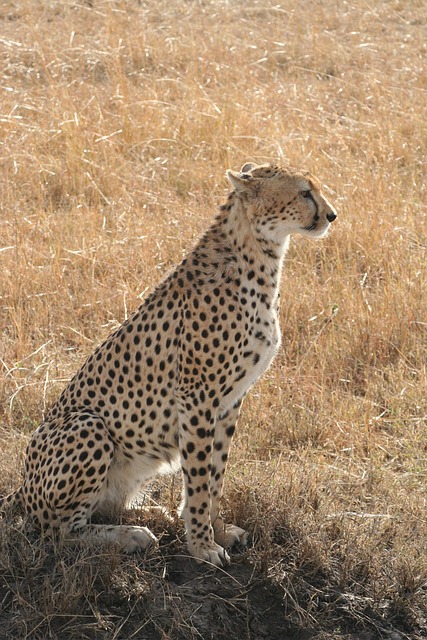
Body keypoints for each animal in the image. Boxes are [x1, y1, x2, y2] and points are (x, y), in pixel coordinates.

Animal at [2, 162, 337, 566]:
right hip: (87, 425)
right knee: (57, 532)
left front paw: (217, 530)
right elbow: (199, 478)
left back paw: (151, 513)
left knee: (103, 507)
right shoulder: (197, 397)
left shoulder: (230, 402)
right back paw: (131, 536)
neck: (257, 256)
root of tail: (22, 486)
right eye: (304, 192)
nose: (332, 215)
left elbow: (216, 473)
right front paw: (202, 545)